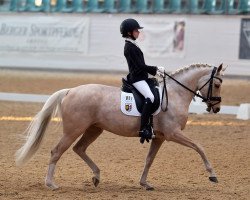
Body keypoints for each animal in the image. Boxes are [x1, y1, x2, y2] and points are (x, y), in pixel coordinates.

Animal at [16, 63, 226, 190]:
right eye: (216, 84)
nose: (216, 108)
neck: (174, 95)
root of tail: (70, 91)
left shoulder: (159, 137)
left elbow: (149, 160)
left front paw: (144, 183)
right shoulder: (172, 133)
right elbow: (199, 147)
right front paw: (213, 175)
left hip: (94, 129)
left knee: (79, 148)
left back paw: (96, 176)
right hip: (74, 130)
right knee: (57, 151)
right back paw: (51, 184)